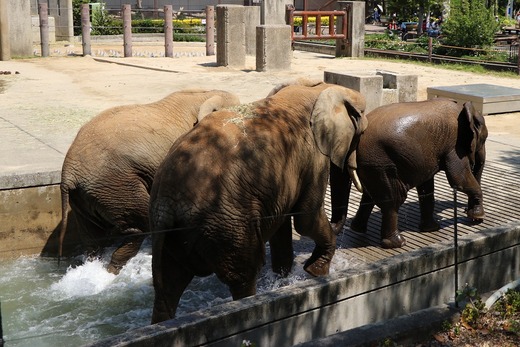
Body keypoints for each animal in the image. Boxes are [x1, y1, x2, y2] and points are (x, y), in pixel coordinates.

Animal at [146, 81, 366, 324]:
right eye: (361, 133)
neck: (316, 87)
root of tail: (168, 201)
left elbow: (284, 224)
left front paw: (284, 279)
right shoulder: (313, 157)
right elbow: (305, 219)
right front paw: (316, 273)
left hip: (168, 229)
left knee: (166, 288)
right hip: (228, 224)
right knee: (244, 275)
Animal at [330, 99, 488, 249]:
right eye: (484, 139)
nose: (467, 211)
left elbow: (426, 186)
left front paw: (431, 229)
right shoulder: (454, 146)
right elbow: (458, 180)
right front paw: (478, 217)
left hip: (372, 164)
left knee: (370, 196)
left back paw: (358, 229)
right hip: (381, 163)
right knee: (394, 200)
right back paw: (398, 243)